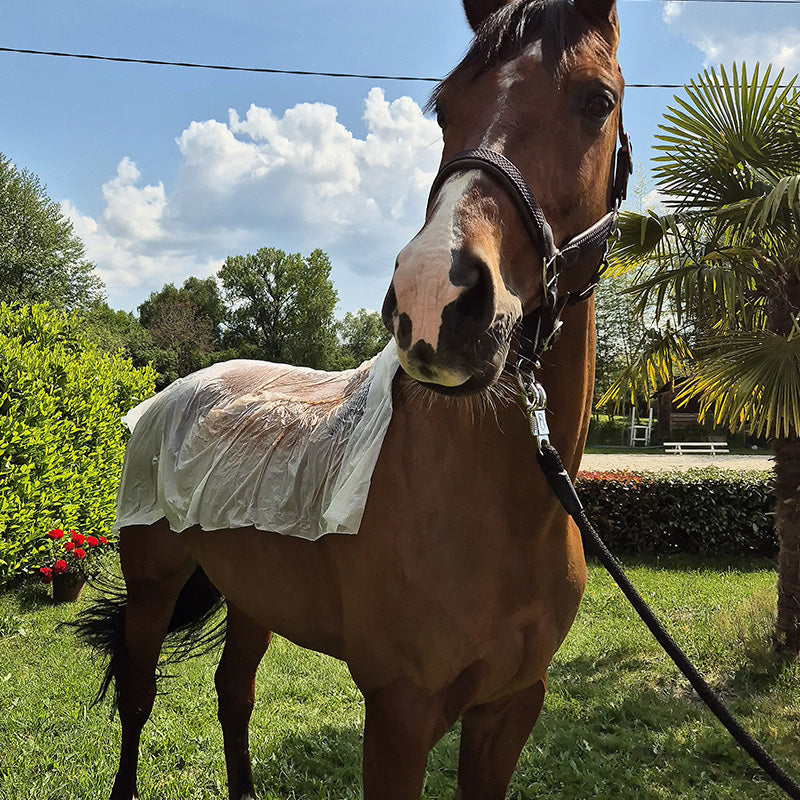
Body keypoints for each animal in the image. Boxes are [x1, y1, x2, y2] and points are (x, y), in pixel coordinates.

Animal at [79, 1, 627, 797]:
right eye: (444, 110)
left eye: (597, 101)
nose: (435, 298)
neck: (501, 512)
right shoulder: (400, 713)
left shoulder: (510, 708)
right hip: (154, 587)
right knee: (139, 694)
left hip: (252, 597)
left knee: (232, 693)